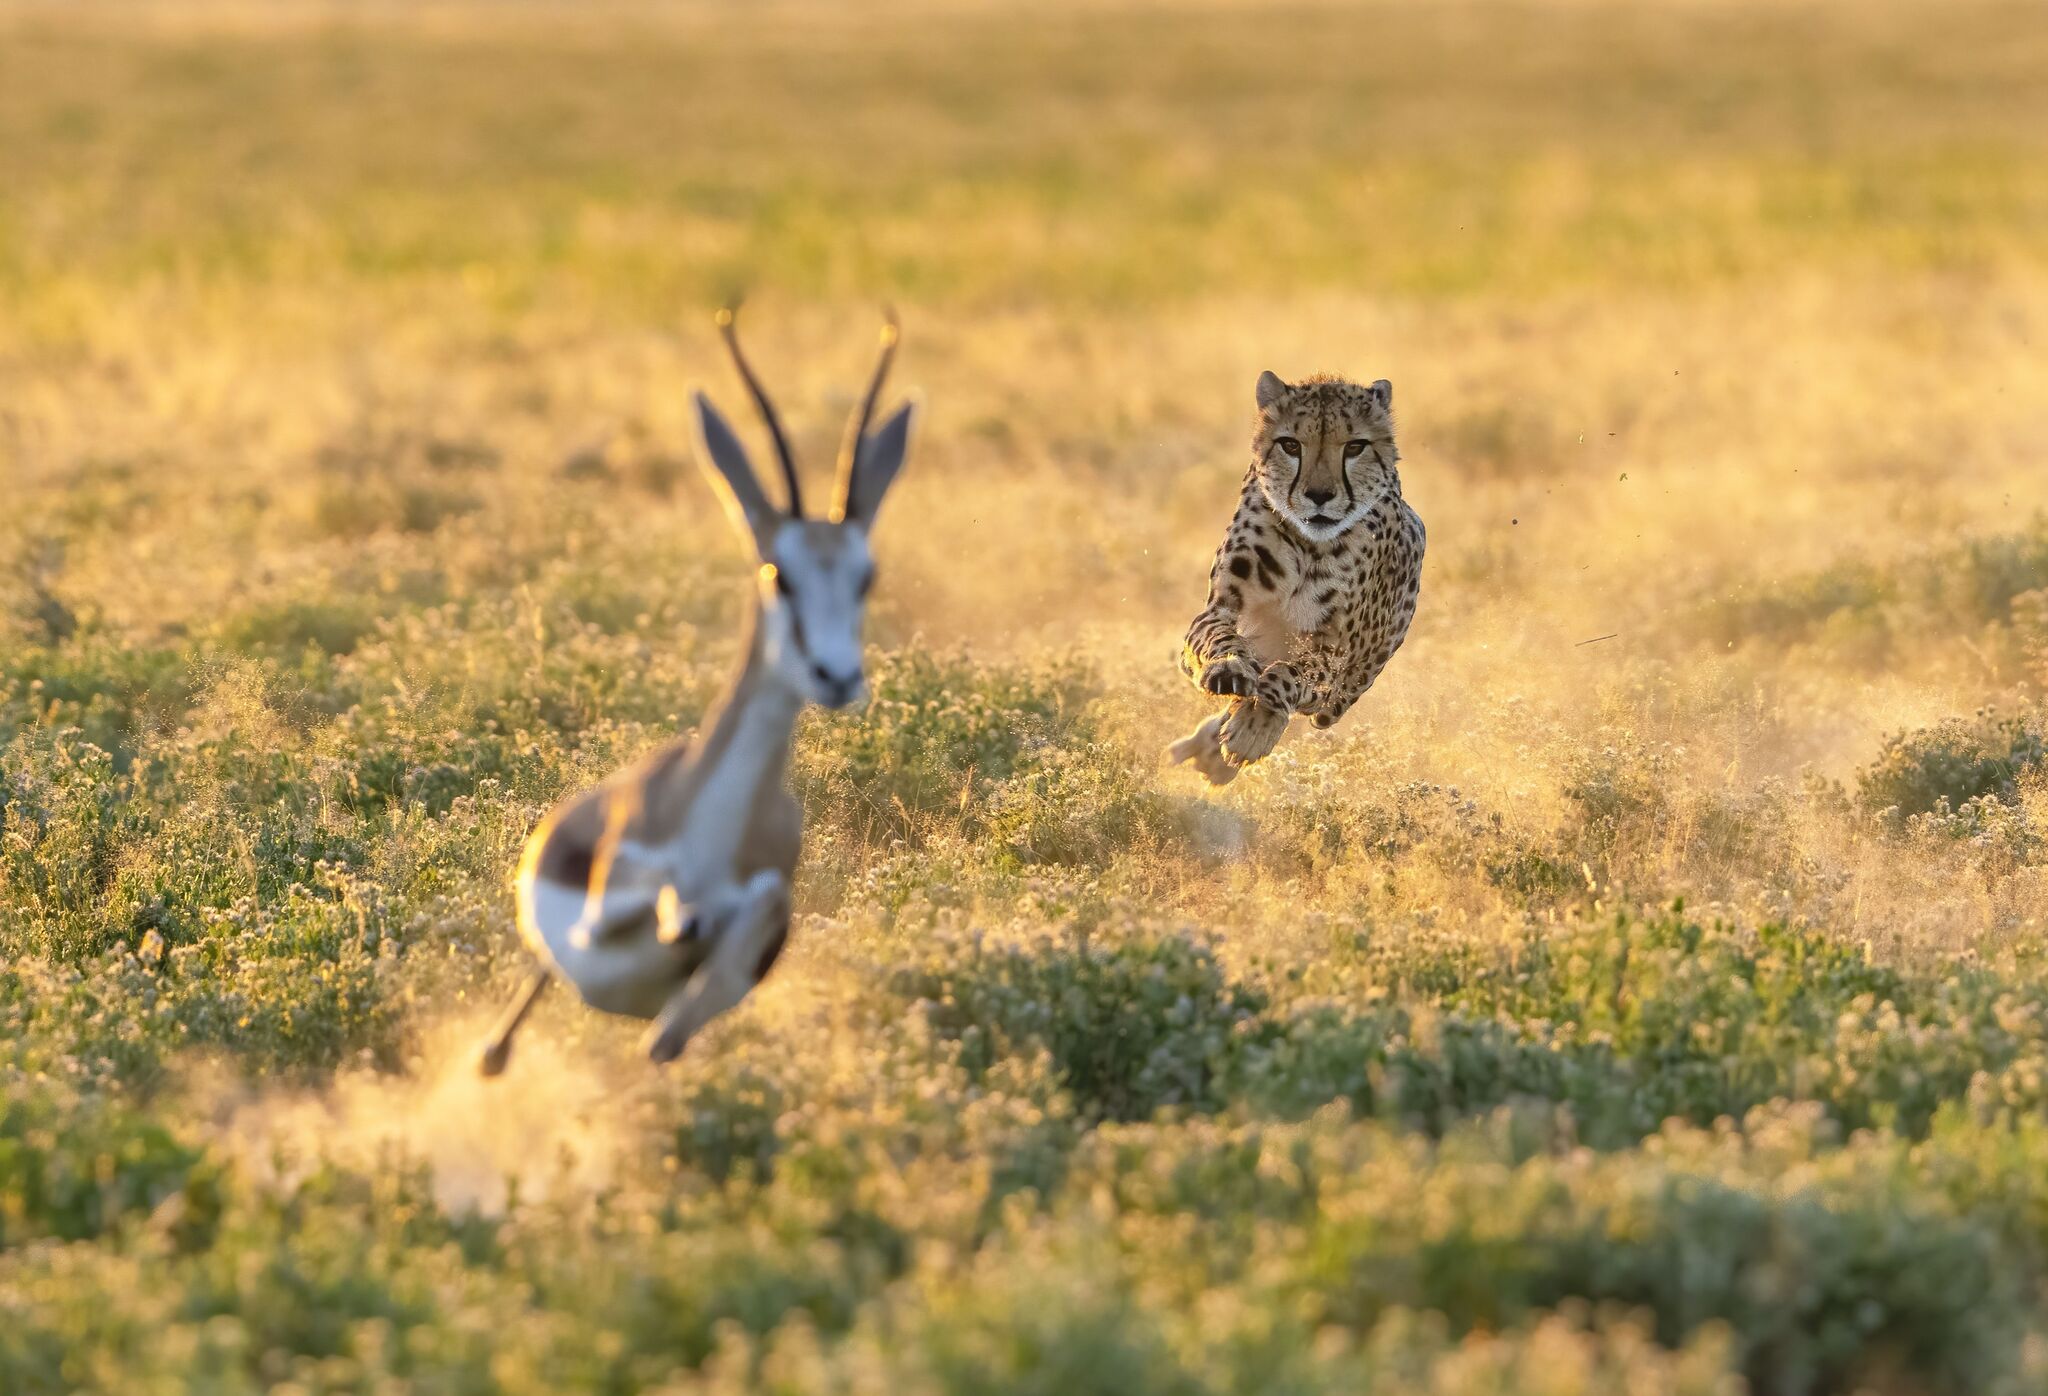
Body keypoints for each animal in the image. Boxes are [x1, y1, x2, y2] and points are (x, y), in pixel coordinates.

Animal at [1171, 370, 1425, 781]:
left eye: (1355, 447)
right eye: (1290, 445)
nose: (1319, 495)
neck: (1308, 546)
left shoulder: (1335, 662)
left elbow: (1295, 674)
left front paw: (1252, 729)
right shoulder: (1218, 608)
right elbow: (1219, 637)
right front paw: (1229, 666)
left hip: (1343, 697)